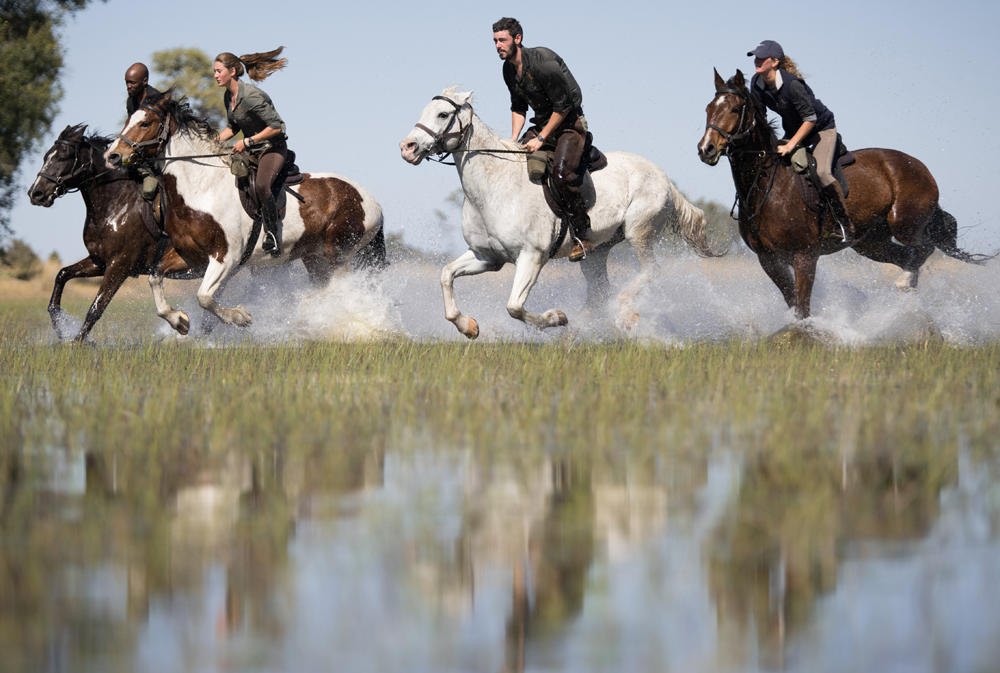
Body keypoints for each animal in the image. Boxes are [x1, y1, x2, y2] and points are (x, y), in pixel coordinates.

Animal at [27, 124, 197, 342]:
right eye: (46, 156)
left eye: (64, 156)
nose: (36, 194)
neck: (116, 205)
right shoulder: (99, 261)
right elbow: (62, 275)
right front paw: (60, 326)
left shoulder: (119, 265)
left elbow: (96, 307)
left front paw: (78, 342)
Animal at [104, 93, 386, 329]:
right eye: (129, 119)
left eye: (145, 123)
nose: (112, 156)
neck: (202, 187)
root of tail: (374, 202)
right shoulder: (191, 258)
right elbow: (155, 277)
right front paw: (179, 321)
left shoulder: (226, 257)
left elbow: (204, 296)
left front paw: (240, 317)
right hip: (314, 258)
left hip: (339, 254)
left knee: (340, 291)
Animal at [399, 88, 718, 339]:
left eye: (443, 114)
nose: (407, 148)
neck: (495, 186)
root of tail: (664, 178)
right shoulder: (486, 257)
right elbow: (446, 275)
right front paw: (469, 327)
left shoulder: (532, 256)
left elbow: (514, 306)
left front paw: (557, 318)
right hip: (597, 251)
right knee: (599, 292)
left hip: (639, 232)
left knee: (650, 271)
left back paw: (623, 313)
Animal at [697, 69, 991, 320]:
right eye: (709, 108)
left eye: (735, 109)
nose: (706, 149)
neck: (767, 185)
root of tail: (921, 167)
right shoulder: (769, 260)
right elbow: (793, 302)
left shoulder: (805, 256)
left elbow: (802, 307)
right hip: (870, 242)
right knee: (906, 255)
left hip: (903, 223)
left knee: (923, 247)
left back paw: (905, 282)